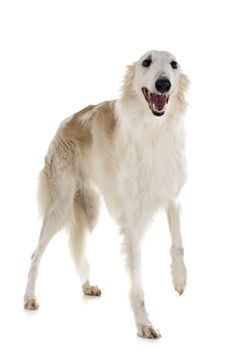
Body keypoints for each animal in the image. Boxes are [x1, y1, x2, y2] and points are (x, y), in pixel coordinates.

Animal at [23, 50, 189, 338]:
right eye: (146, 62)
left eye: (174, 64)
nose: (163, 84)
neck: (153, 130)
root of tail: (65, 123)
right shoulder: (132, 220)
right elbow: (137, 277)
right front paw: (144, 323)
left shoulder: (172, 196)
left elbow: (177, 244)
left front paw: (179, 279)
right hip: (61, 205)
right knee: (35, 255)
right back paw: (29, 298)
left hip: (89, 208)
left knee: (78, 249)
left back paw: (87, 285)